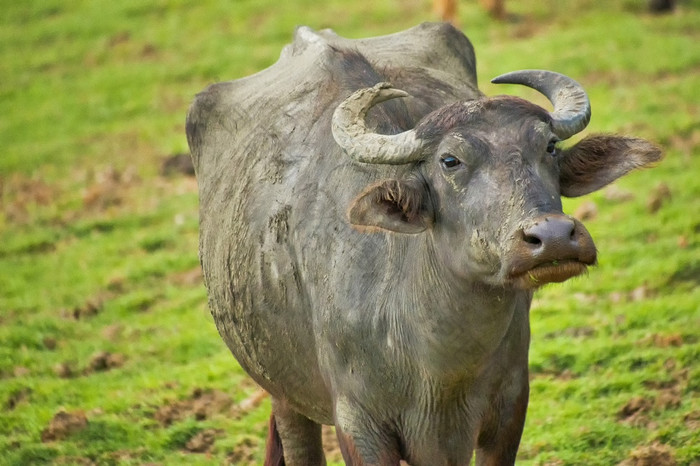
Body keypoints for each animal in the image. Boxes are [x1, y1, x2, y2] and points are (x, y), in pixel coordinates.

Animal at [186, 22, 660, 466]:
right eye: (450, 160)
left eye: (550, 147)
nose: (555, 237)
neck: (437, 366)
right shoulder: (359, 424)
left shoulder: (509, 408)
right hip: (281, 389)